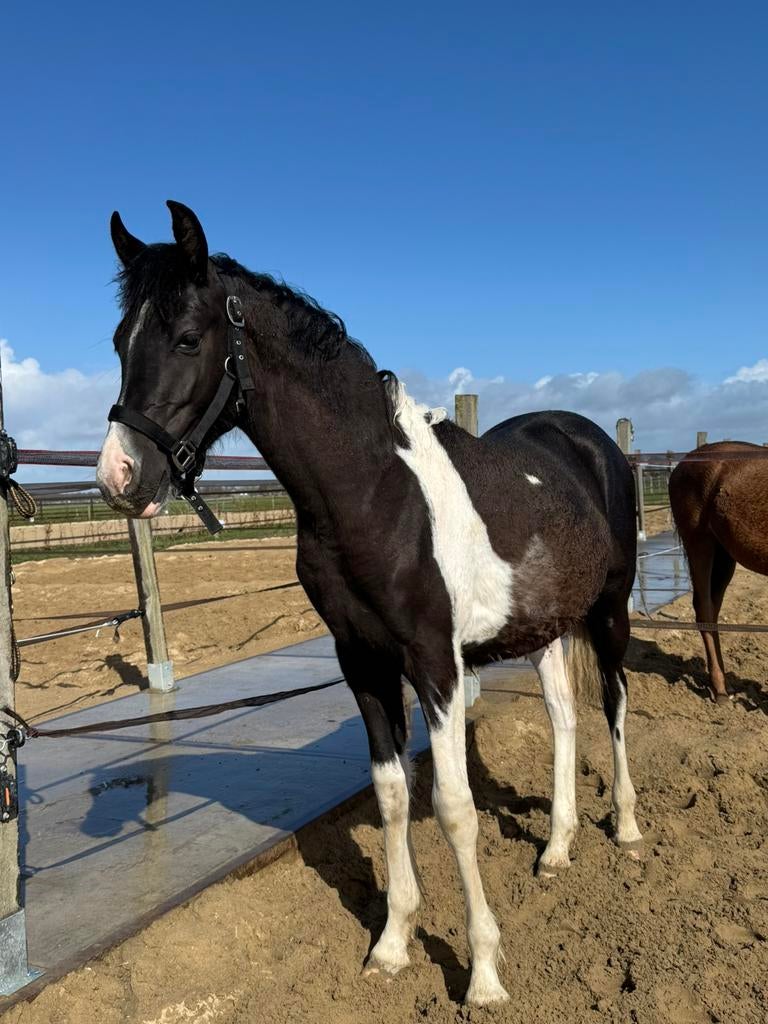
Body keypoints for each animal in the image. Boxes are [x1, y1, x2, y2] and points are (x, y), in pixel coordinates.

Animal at [95, 200, 642, 1005]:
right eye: (118, 342)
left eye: (188, 337)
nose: (119, 477)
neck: (375, 494)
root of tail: (591, 440)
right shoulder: (363, 662)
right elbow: (390, 794)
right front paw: (391, 944)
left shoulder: (434, 663)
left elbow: (453, 808)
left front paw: (483, 974)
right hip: (544, 628)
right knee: (563, 718)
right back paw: (556, 848)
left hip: (608, 613)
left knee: (614, 705)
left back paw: (627, 829)